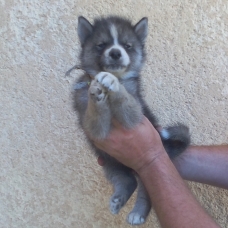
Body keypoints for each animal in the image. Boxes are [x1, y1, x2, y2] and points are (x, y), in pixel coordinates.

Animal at [72, 15, 190, 224]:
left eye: (127, 46)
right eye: (101, 45)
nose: (115, 53)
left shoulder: (136, 115)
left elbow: (125, 98)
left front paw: (111, 82)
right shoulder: (92, 126)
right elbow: (95, 116)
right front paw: (97, 91)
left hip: (148, 170)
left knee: (146, 192)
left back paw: (138, 213)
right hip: (111, 164)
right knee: (128, 181)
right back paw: (119, 199)